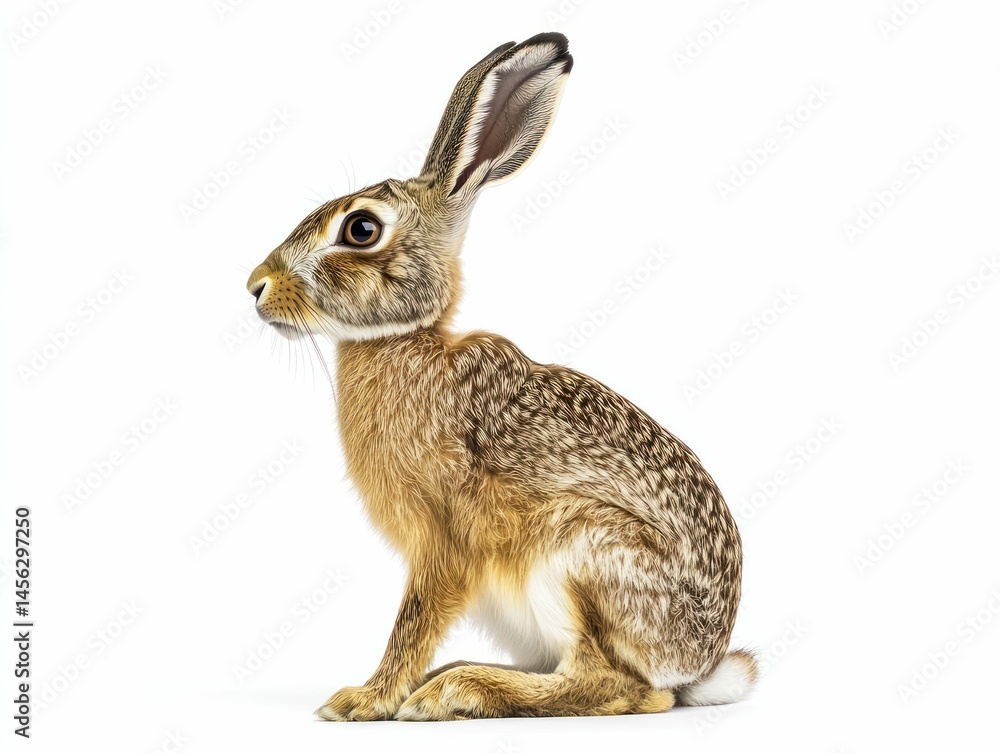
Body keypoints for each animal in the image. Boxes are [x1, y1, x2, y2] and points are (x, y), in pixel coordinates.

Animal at [246, 32, 756, 721]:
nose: (256, 287)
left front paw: (362, 701)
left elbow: (413, 622)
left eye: (361, 229)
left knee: (619, 687)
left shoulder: (445, 541)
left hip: (576, 556)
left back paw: (456, 691)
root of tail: (700, 661)